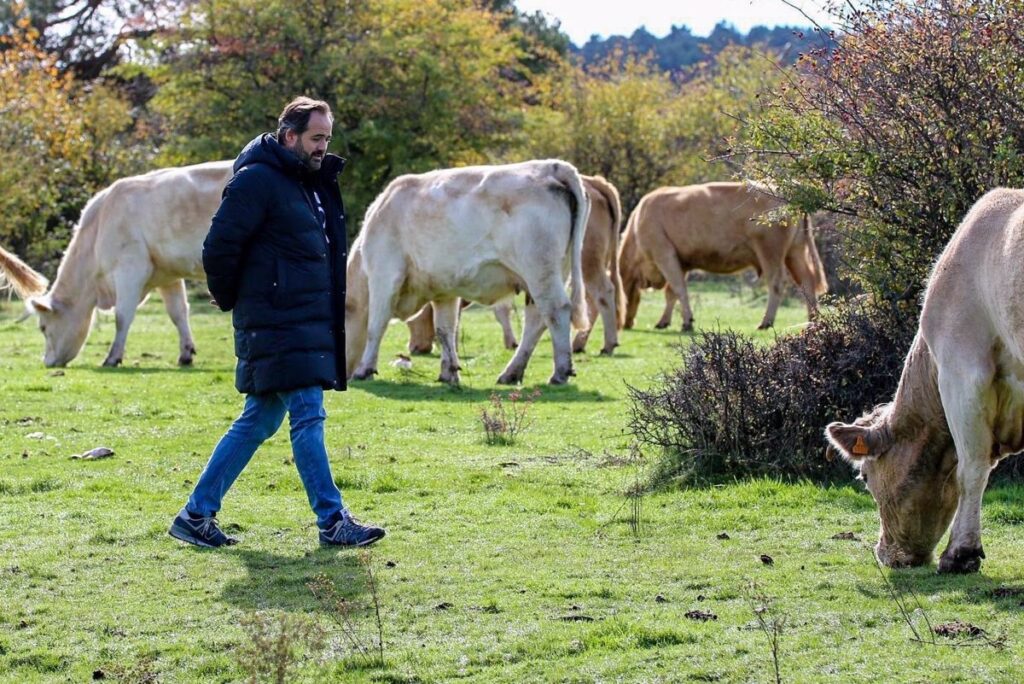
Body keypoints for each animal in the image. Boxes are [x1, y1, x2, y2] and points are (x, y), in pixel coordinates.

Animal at [0, 160, 232, 366]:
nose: (46, 362)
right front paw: (185, 354)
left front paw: (112, 358)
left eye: (43, 328)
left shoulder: (130, 269)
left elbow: (122, 316)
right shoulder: (167, 275)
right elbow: (178, 312)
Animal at [405, 174, 622, 356]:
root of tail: (595, 181)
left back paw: (606, 344)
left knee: (602, 293)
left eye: (412, 321)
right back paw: (580, 343)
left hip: (586, 262)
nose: (413, 348)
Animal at [614, 181, 823, 331]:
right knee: (807, 280)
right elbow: (671, 293)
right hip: (795, 252)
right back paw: (813, 320)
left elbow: (679, 289)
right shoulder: (681, 262)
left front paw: (687, 322)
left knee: (776, 283)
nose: (626, 324)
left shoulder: (664, 255)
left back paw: (766, 322)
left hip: (770, 252)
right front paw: (664, 321)